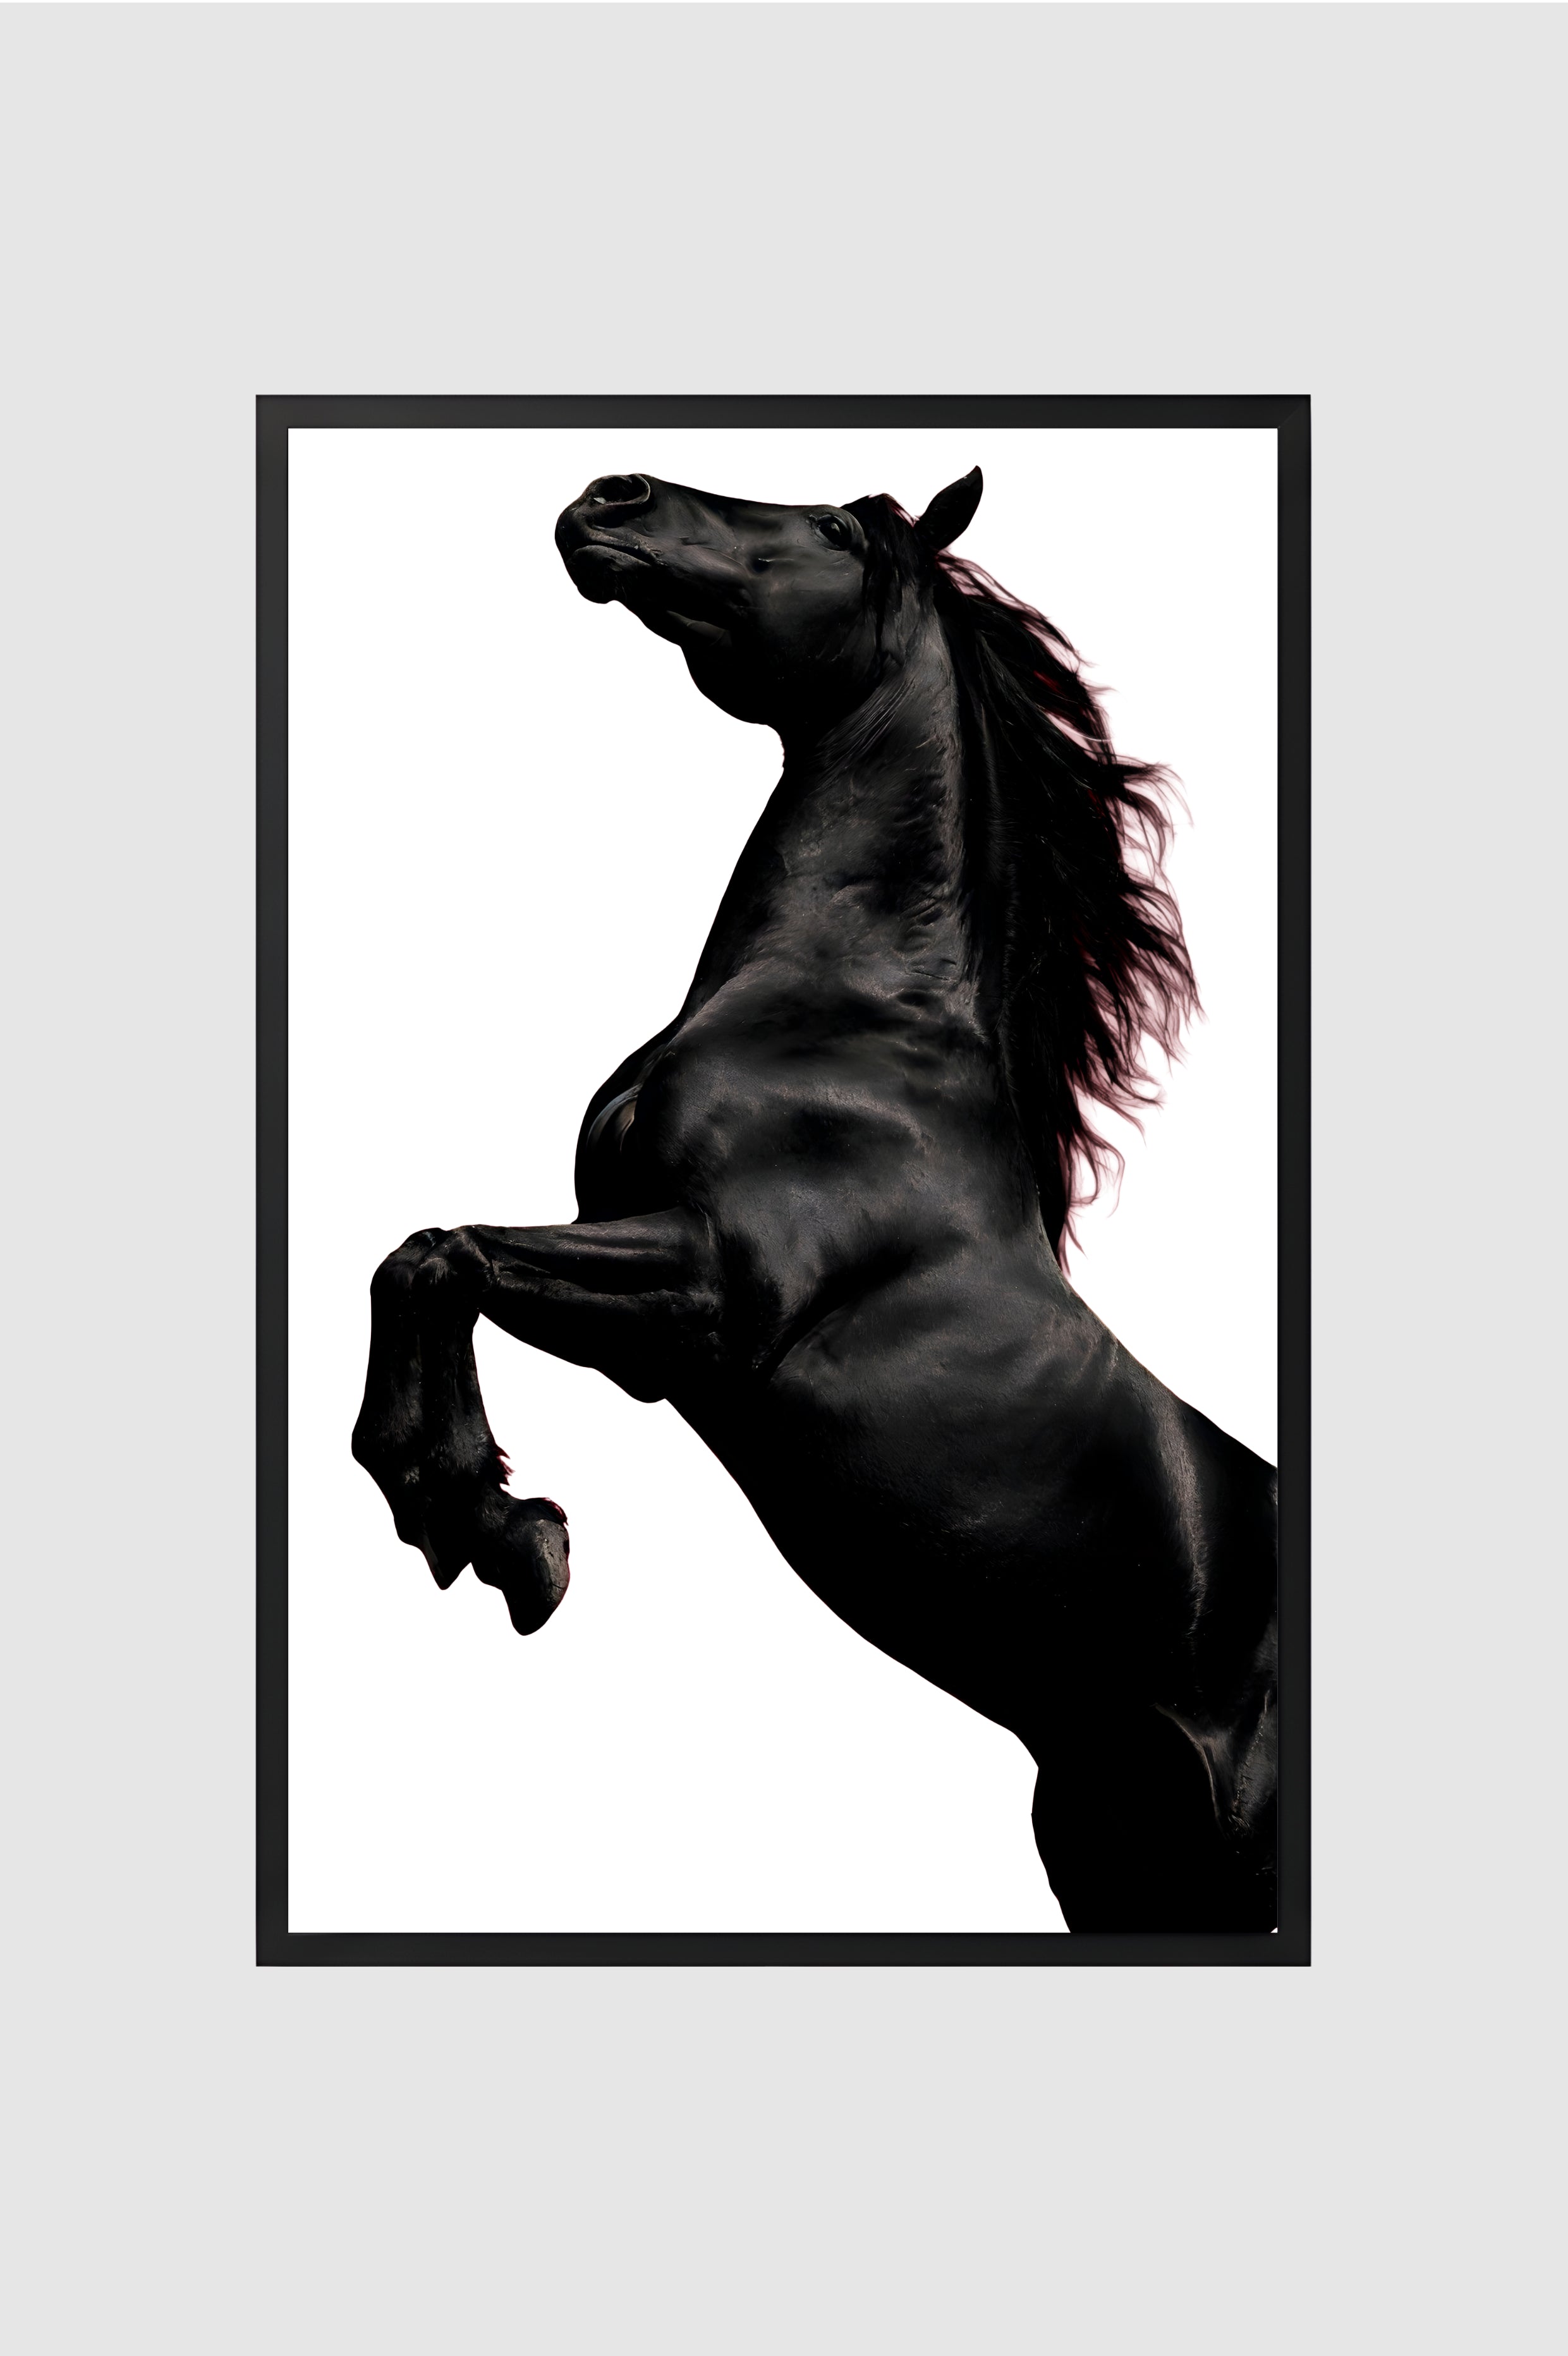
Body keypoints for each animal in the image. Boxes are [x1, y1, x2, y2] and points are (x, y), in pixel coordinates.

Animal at [351, 465, 1278, 1932]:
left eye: (837, 531)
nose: (608, 493)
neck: (844, 1019)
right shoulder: (641, 1326)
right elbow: (420, 1256)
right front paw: (477, 1518)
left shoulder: (710, 1297)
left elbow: (440, 1258)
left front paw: (502, 1532)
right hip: (1122, 1857)